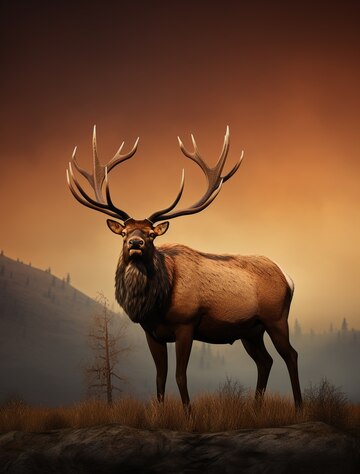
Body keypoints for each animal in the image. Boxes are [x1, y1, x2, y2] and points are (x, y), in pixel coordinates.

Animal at [66, 127, 302, 412]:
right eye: (124, 232)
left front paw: (189, 414)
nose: (135, 243)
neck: (155, 302)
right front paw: (159, 412)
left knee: (291, 355)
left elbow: (180, 375)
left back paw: (299, 406)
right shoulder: (152, 332)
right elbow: (160, 376)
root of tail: (288, 278)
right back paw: (256, 408)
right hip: (250, 330)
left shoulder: (186, 324)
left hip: (276, 318)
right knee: (265, 361)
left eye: (151, 234)